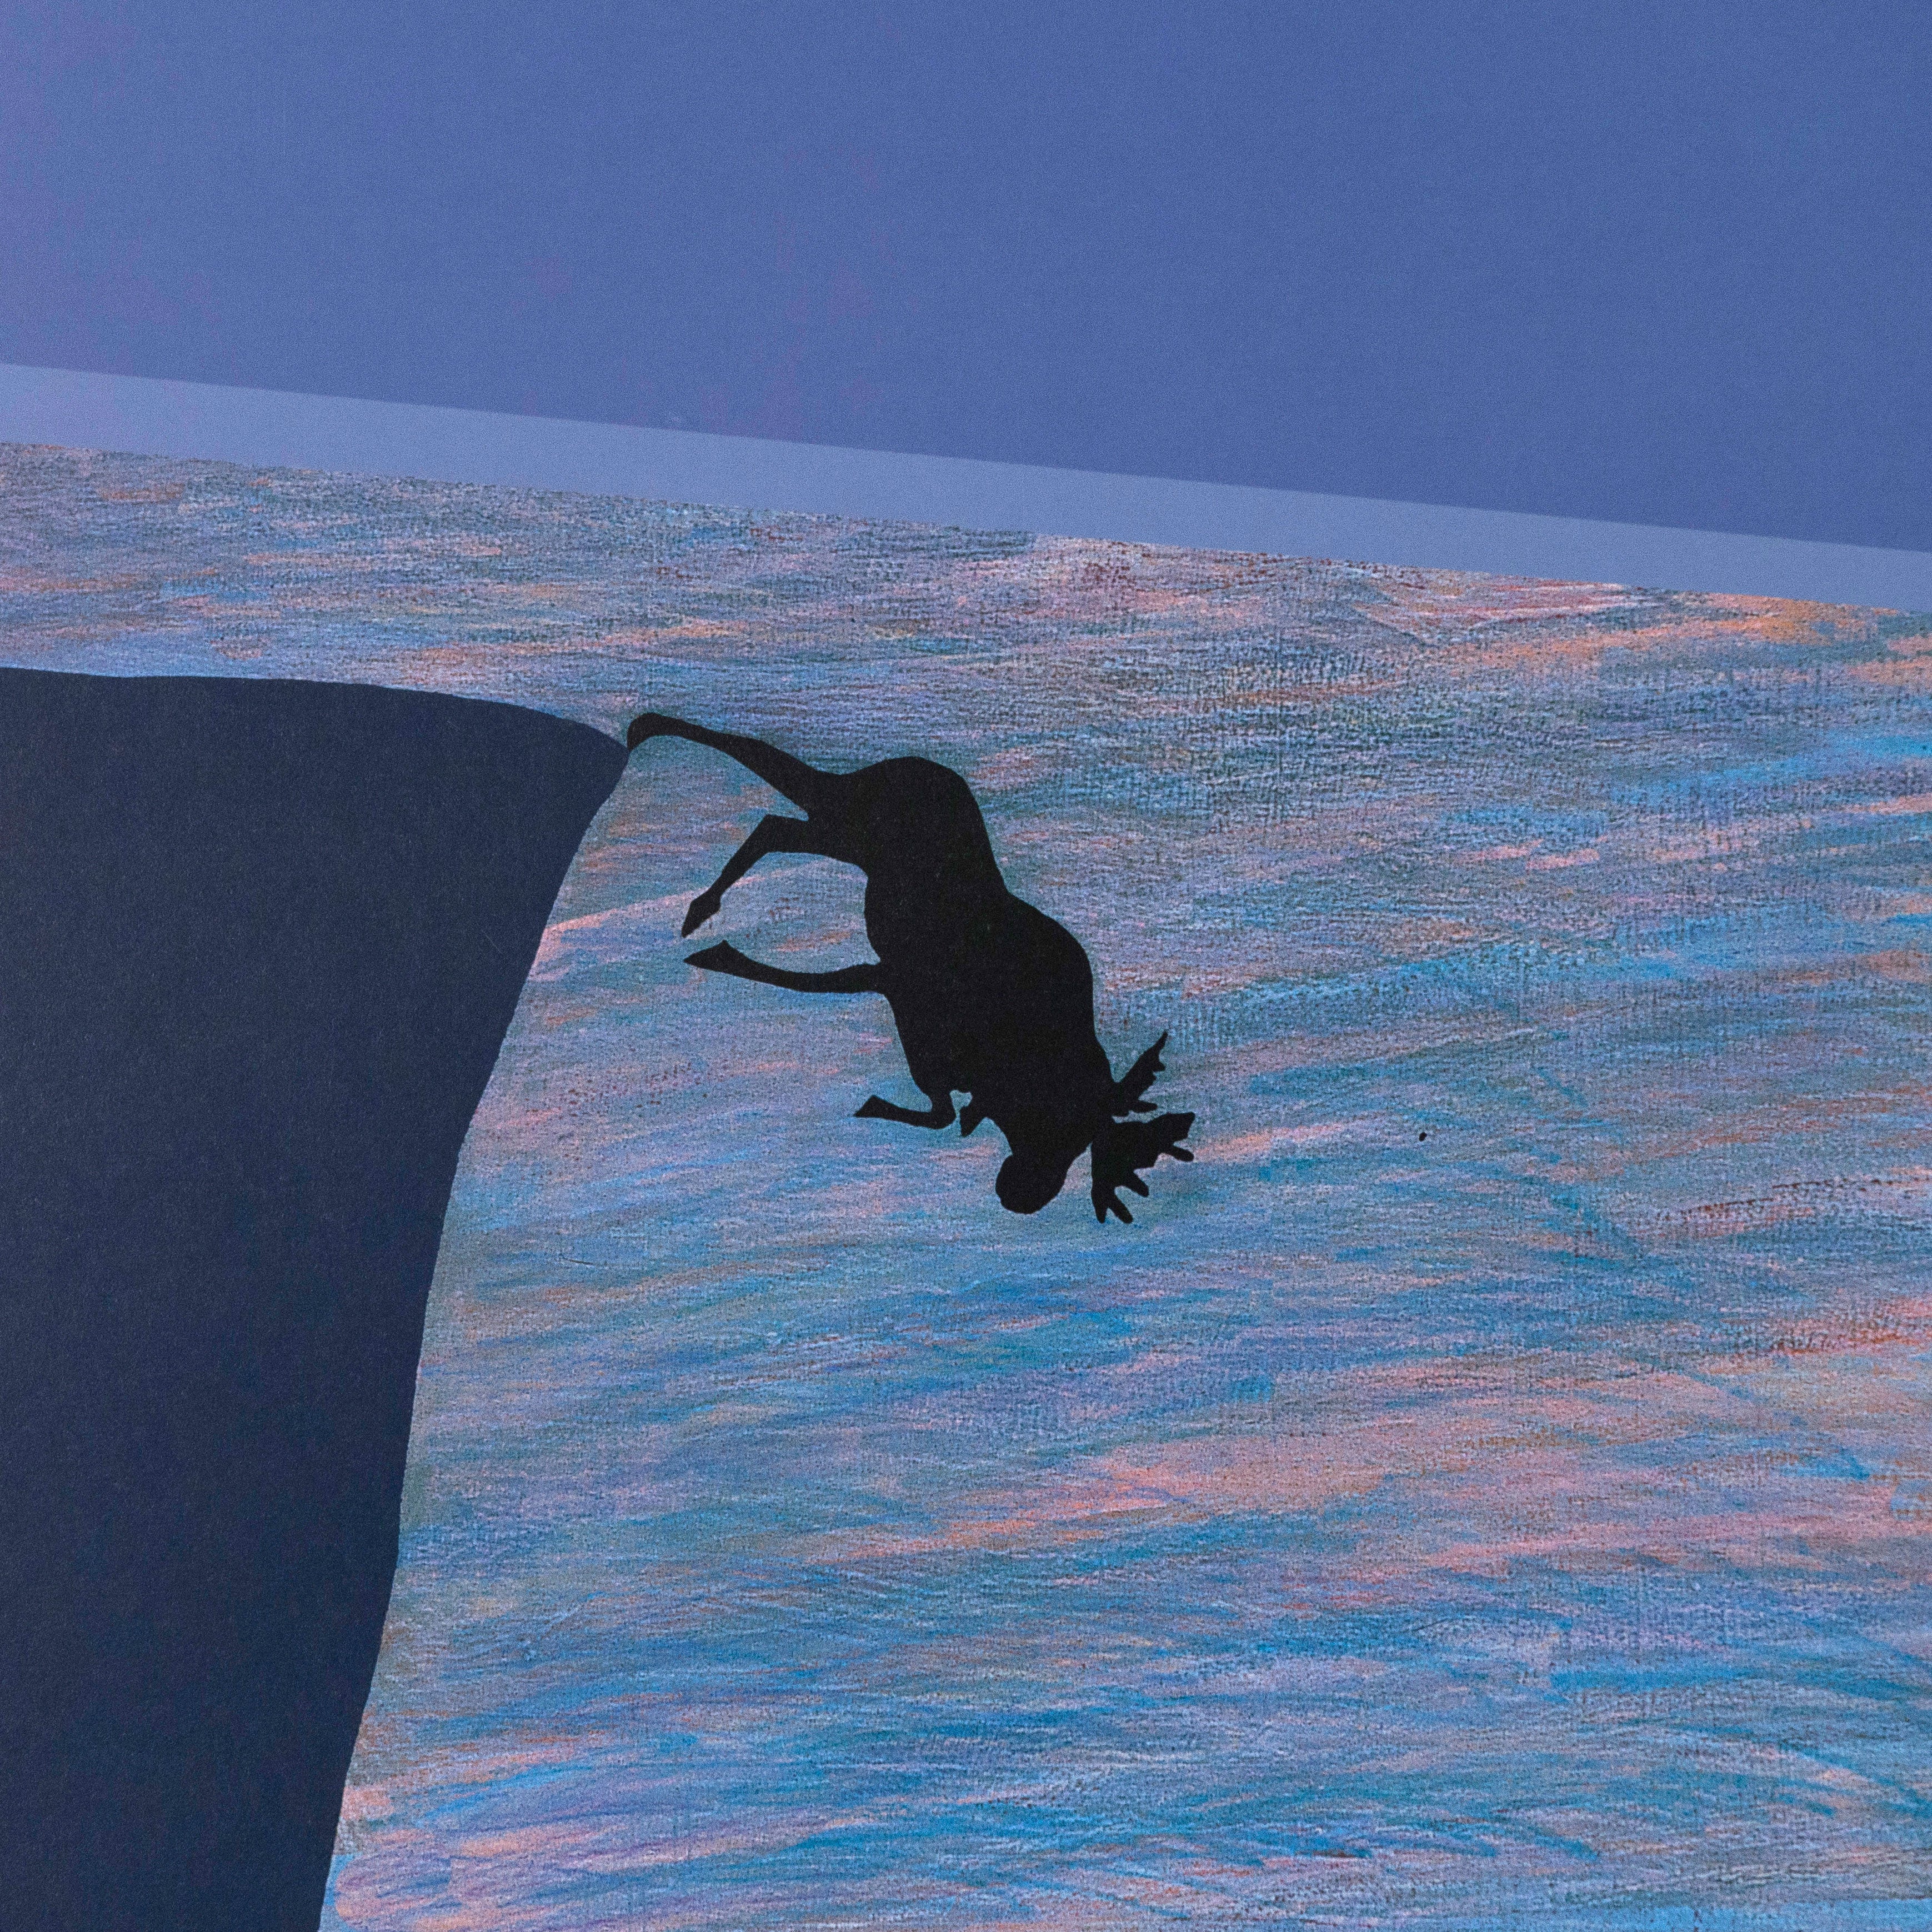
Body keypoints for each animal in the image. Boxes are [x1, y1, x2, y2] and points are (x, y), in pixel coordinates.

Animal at [625, 712, 1195, 1222]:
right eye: (1067, 1132)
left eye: (1081, 1147)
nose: (1021, 1196)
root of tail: (922, 765)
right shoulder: (901, 986)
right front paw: (716, 955)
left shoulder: (904, 1002)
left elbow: (942, 1111)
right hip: (850, 821)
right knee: (774, 796)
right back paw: (645, 738)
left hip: (846, 837)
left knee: (777, 824)